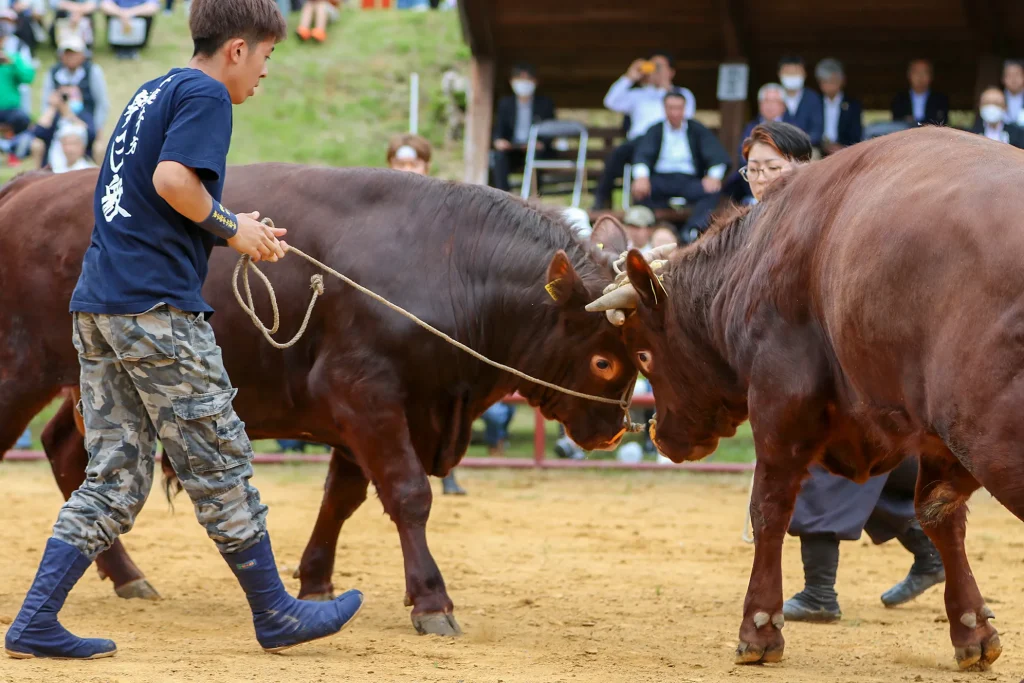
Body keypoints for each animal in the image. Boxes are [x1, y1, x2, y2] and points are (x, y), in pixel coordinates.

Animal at [0, 162, 634, 634]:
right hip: (20, 372)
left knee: (68, 453)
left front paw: (316, 580)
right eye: (604, 361)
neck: (449, 263)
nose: (615, 428)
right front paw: (432, 600)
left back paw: (126, 574)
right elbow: (408, 494)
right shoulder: (367, 396)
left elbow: (341, 498)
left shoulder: (365, 417)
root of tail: (30, 185)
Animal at [589, 126, 1024, 667]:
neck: (759, 254)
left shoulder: (780, 404)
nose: (661, 436)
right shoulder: (932, 438)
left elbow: (769, 509)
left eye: (644, 355)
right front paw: (971, 629)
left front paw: (759, 628)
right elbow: (938, 514)